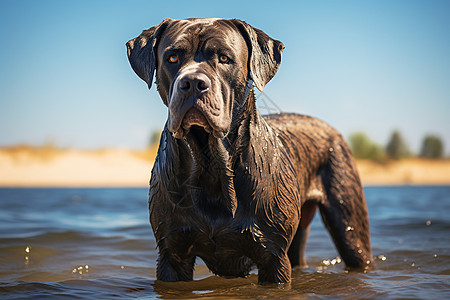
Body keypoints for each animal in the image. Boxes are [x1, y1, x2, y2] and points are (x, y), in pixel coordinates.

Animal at [125, 18, 372, 284]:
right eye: (172, 58)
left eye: (224, 58)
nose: (192, 83)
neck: (211, 163)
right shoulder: (172, 254)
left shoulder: (273, 256)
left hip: (349, 223)